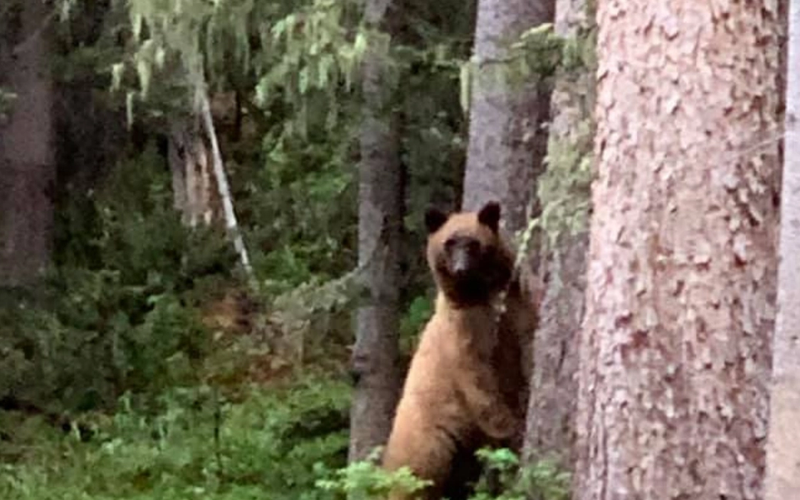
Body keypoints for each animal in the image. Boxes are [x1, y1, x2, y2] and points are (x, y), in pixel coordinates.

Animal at [381, 201, 536, 500]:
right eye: (449, 242)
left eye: (473, 243)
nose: (461, 269)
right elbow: (477, 378)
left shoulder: (518, 300)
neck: (481, 294)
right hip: (429, 438)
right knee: (416, 477)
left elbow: (530, 332)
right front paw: (512, 427)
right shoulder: (461, 331)